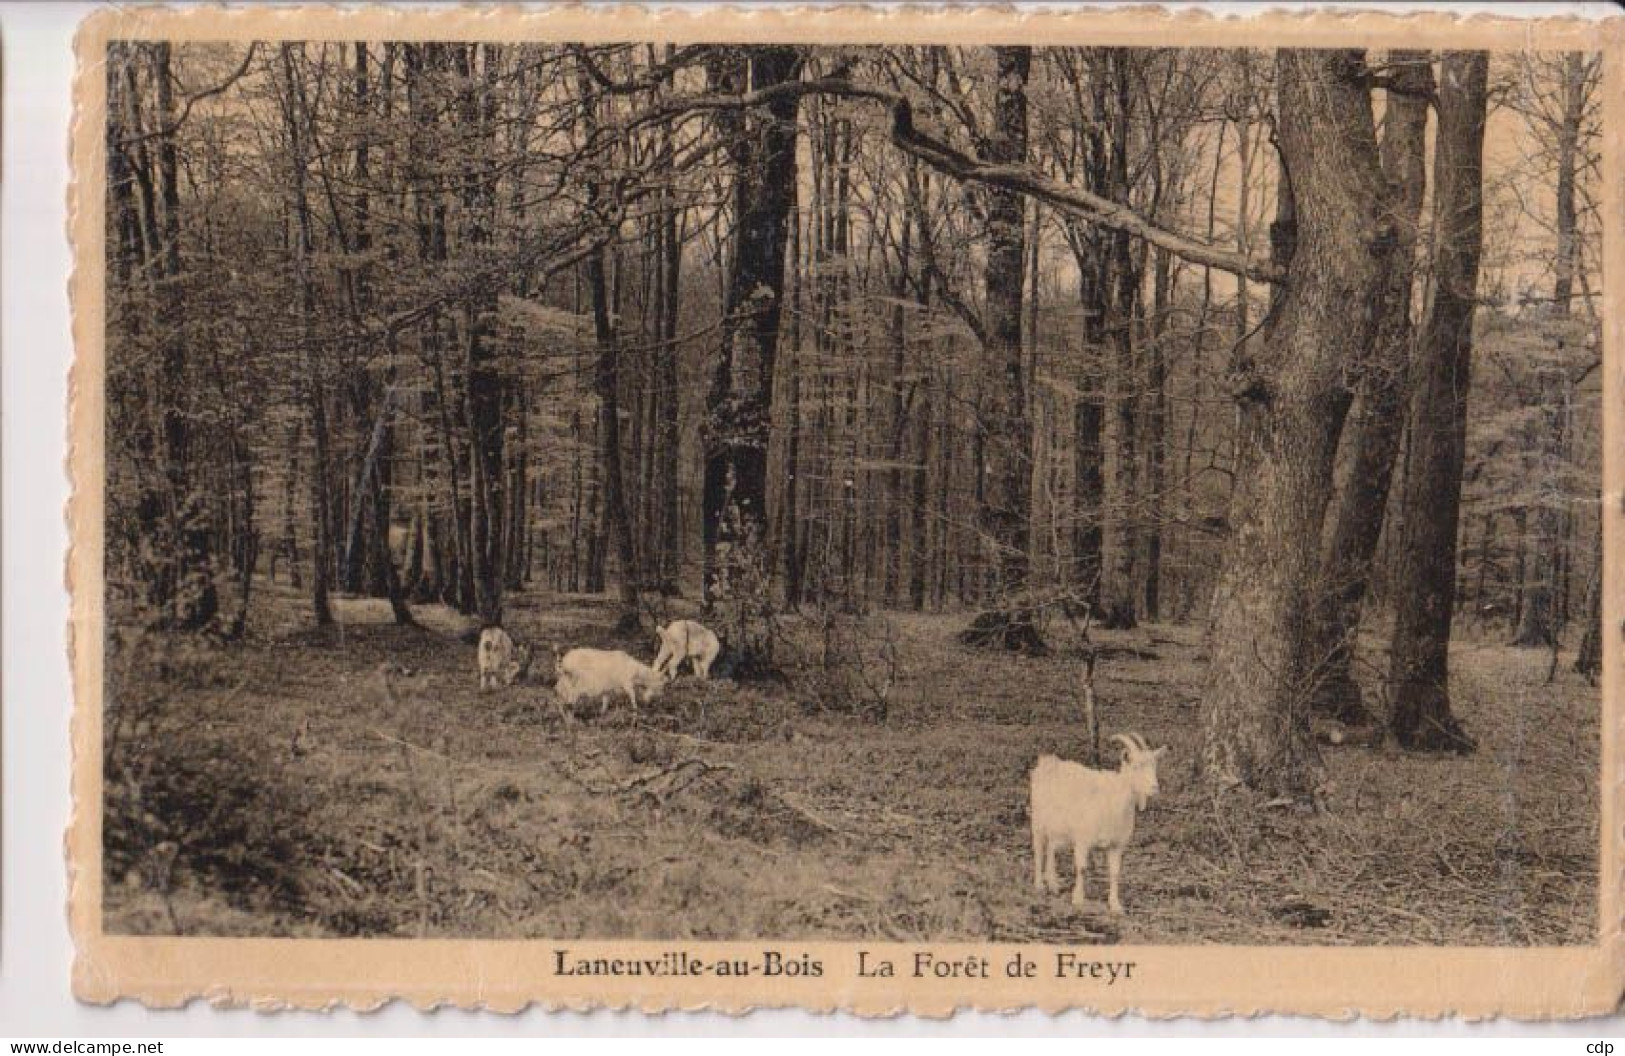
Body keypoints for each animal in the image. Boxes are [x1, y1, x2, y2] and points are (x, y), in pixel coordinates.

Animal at [1033, 731, 1163, 909]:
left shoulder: (1116, 845)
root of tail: (1047, 763)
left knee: (1052, 847)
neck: (1112, 801)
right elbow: (1082, 868)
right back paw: (1039, 886)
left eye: (1154, 766)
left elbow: (1115, 873)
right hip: (1037, 822)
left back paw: (1053, 885)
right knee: (1039, 850)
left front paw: (1115, 905)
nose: (1154, 788)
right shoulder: (1083, 840)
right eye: (1135, 766)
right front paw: (1078, 899)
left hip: (1058, 829)